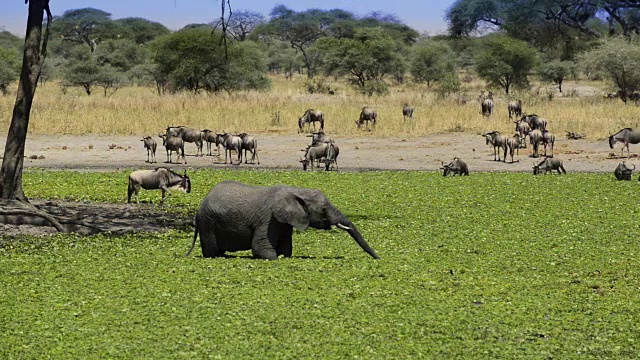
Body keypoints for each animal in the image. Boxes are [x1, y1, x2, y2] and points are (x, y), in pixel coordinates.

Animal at [186, 181, 380, 260]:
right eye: (324, 209)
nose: (379, 259)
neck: (296, 190)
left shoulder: (285, 221)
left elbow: (287, 249)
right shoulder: (268, 218)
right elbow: (261, 249)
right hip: (208, 224)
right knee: (212, 252)